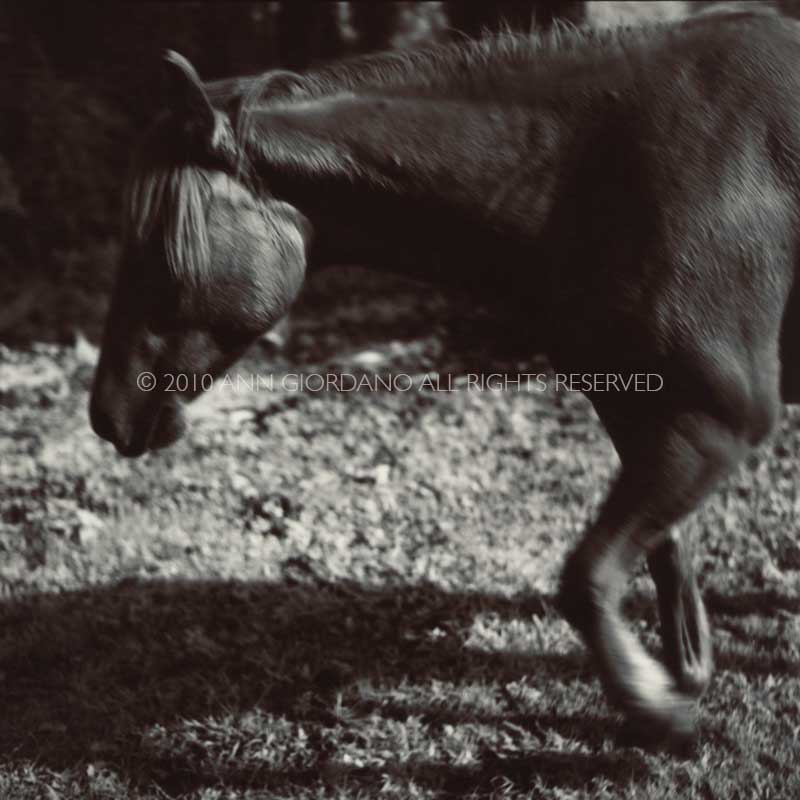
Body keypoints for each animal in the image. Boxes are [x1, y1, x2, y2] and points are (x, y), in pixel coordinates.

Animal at [87, 10, 800, 752]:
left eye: (156, 253)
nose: (107, 414)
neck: (592, 170)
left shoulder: (718, 423)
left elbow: (586, 578)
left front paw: (657, 711)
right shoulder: (648, 419)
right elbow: (665, 554)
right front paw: (680, 679)